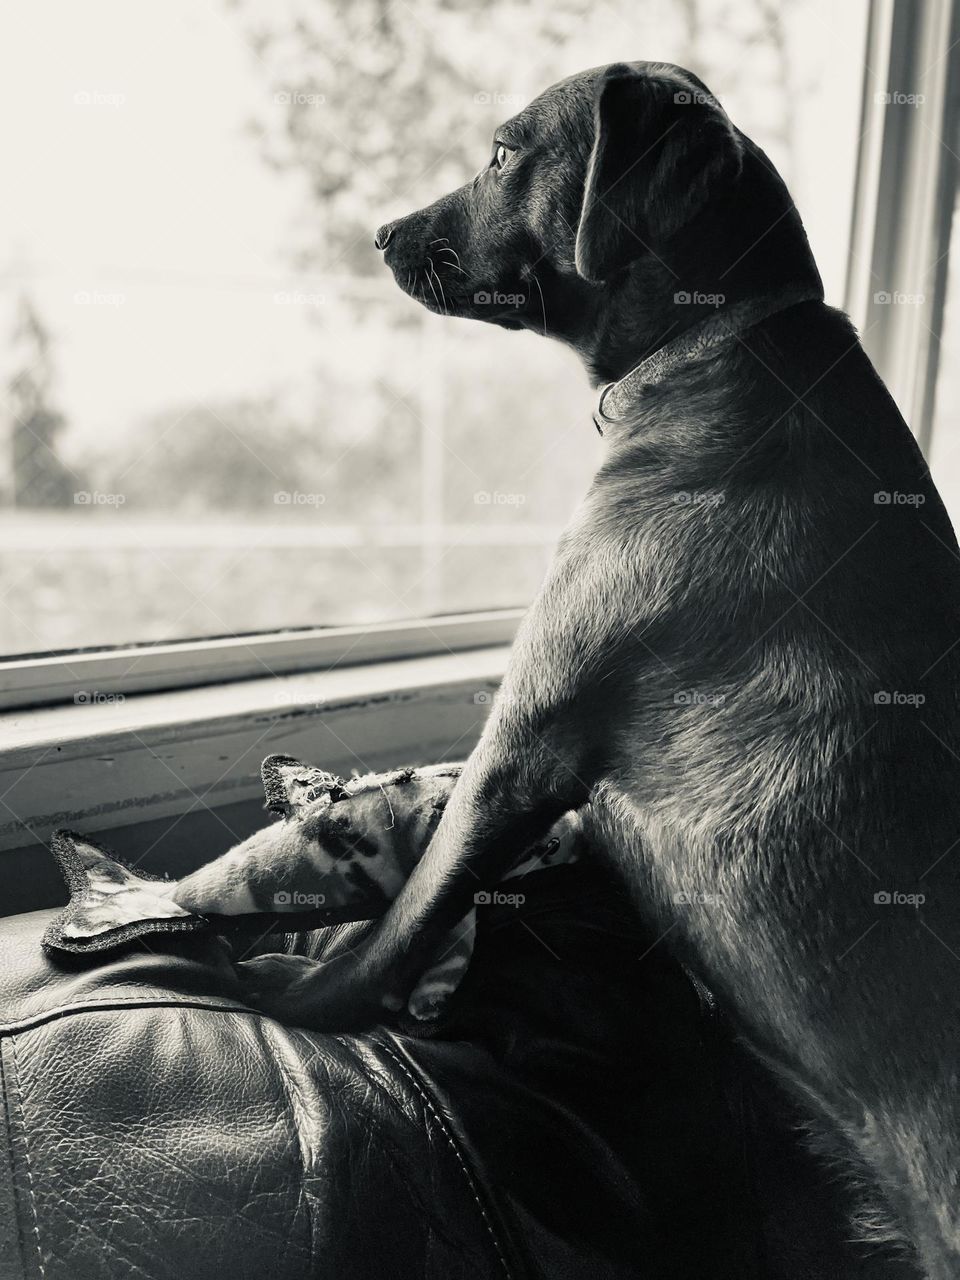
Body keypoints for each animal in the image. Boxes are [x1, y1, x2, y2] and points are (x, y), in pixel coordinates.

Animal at [244, 62, 960, 1280]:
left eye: (500, 153)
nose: (378, 231)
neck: (704, 352)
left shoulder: (526, 739)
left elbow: (418, 903)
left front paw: (298, 992)